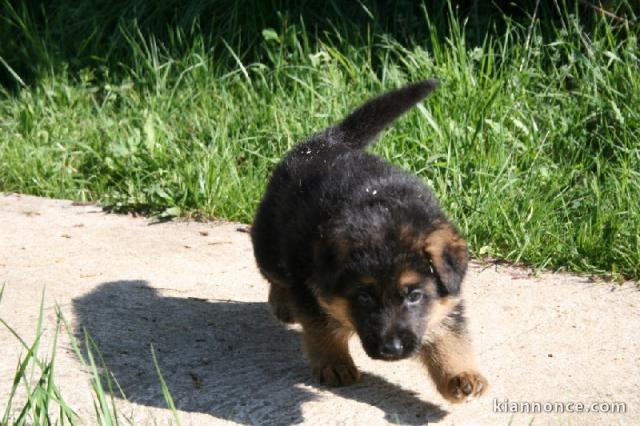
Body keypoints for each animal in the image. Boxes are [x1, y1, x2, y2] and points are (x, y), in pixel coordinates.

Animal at [252, 80, 488, 402]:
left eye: (415, 296)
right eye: (364, 297)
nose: (392, 350)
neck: (386, 210)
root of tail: (325, 141)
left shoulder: (447, 298)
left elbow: (450, 335)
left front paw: (460, 375)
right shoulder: (307, 287)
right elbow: (322, 328)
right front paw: (334, 363)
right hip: (270, 247)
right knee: (275, 275)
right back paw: (281, 302)